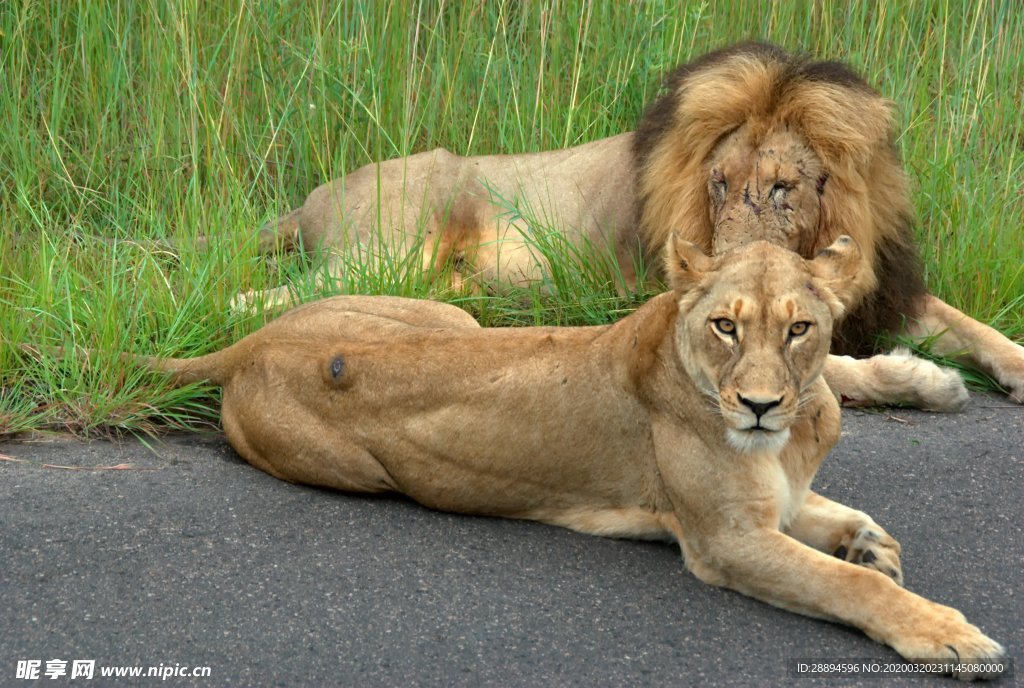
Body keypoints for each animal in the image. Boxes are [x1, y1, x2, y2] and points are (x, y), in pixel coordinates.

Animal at [136, 236, 999, 675]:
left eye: (798, 329)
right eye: (725, 325)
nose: (758, 405)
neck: (795, 426)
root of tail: (250, 344)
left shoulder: (770, 505)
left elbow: (843, 523)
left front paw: (869, 543)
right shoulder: (725, 539)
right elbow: (847, 586)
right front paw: (942, 630)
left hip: (451, 318)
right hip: (366, 462)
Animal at [235, 41, 1019, 403]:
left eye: (782, 188)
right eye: (718, 184)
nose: (725, 264)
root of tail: (312, 197)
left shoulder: (887, 290)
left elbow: (969, 325)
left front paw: (1008, 365)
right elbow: (816, 367)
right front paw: (920, 380)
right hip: (389, 248)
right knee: (254, 298)